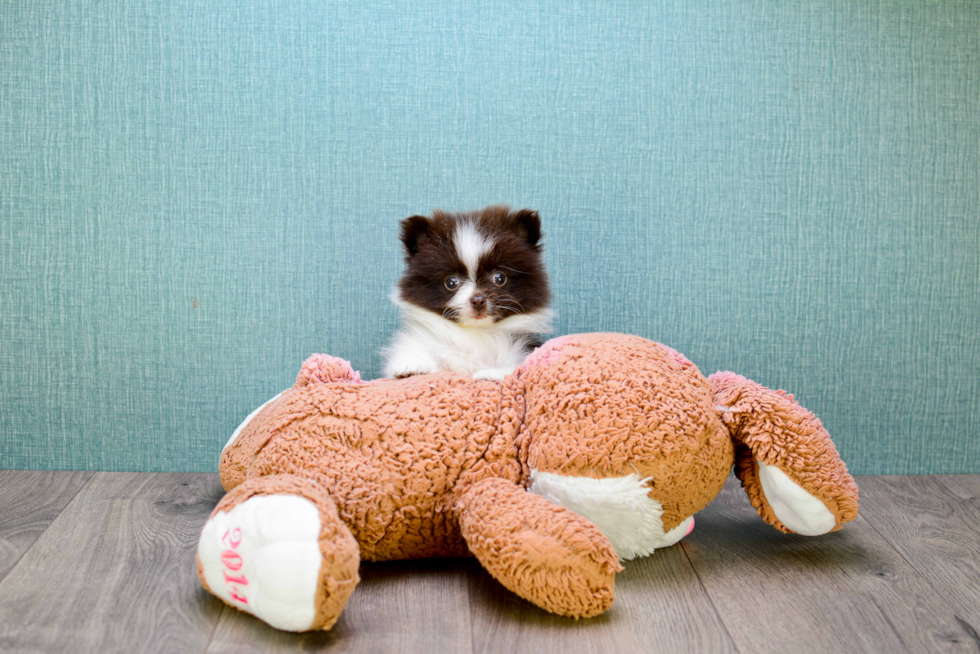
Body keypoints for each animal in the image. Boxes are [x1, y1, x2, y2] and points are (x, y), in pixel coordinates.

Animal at [382, 204, 552, 380]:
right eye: (451, 282)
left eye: (499, 278)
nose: (478, 300)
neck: (476, 333)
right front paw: (412, 364)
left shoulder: (523, 349)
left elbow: (515, 368)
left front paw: (490, 373)